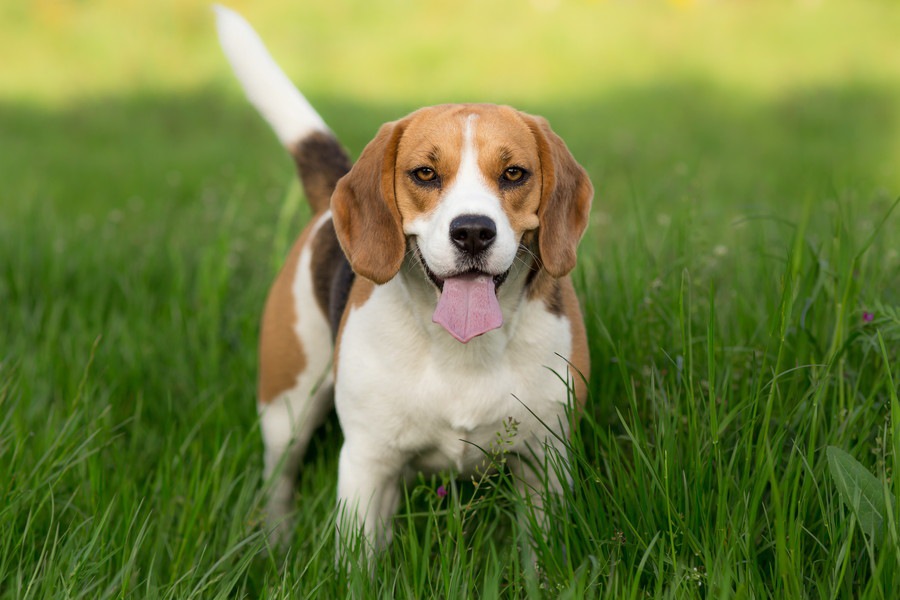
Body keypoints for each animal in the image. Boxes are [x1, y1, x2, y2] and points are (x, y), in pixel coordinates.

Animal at [215, 7, 596, 556]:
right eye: (424, 174)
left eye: (514, 173)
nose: (473, 231)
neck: (462, 348)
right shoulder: (367, 463)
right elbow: (357, 560)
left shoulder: (545, 459)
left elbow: (539, 554)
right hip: (285, 406)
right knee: (279, 478)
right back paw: (276, 540)